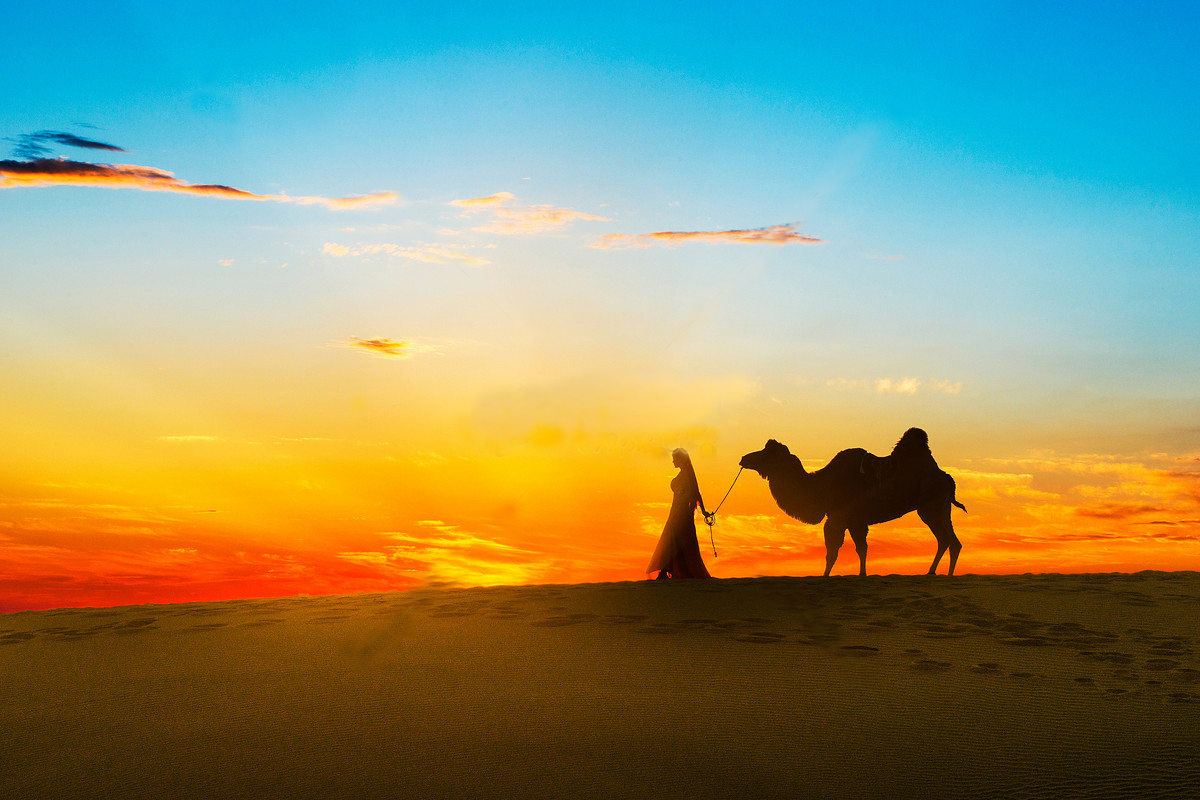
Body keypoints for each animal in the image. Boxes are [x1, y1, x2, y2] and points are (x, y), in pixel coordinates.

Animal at [734, 429, 969, 578]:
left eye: (766, 453)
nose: (744, 458)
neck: (821, 487)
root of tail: (947, 477)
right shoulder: (854, 520)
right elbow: (858, 549)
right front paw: (860, 574)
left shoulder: (840, 518)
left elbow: (834, 551)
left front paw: (827, 576)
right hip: (938, 508)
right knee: (948, 540)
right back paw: (934, 572)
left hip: (931, 508)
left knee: (949, 540)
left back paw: (944, 574)